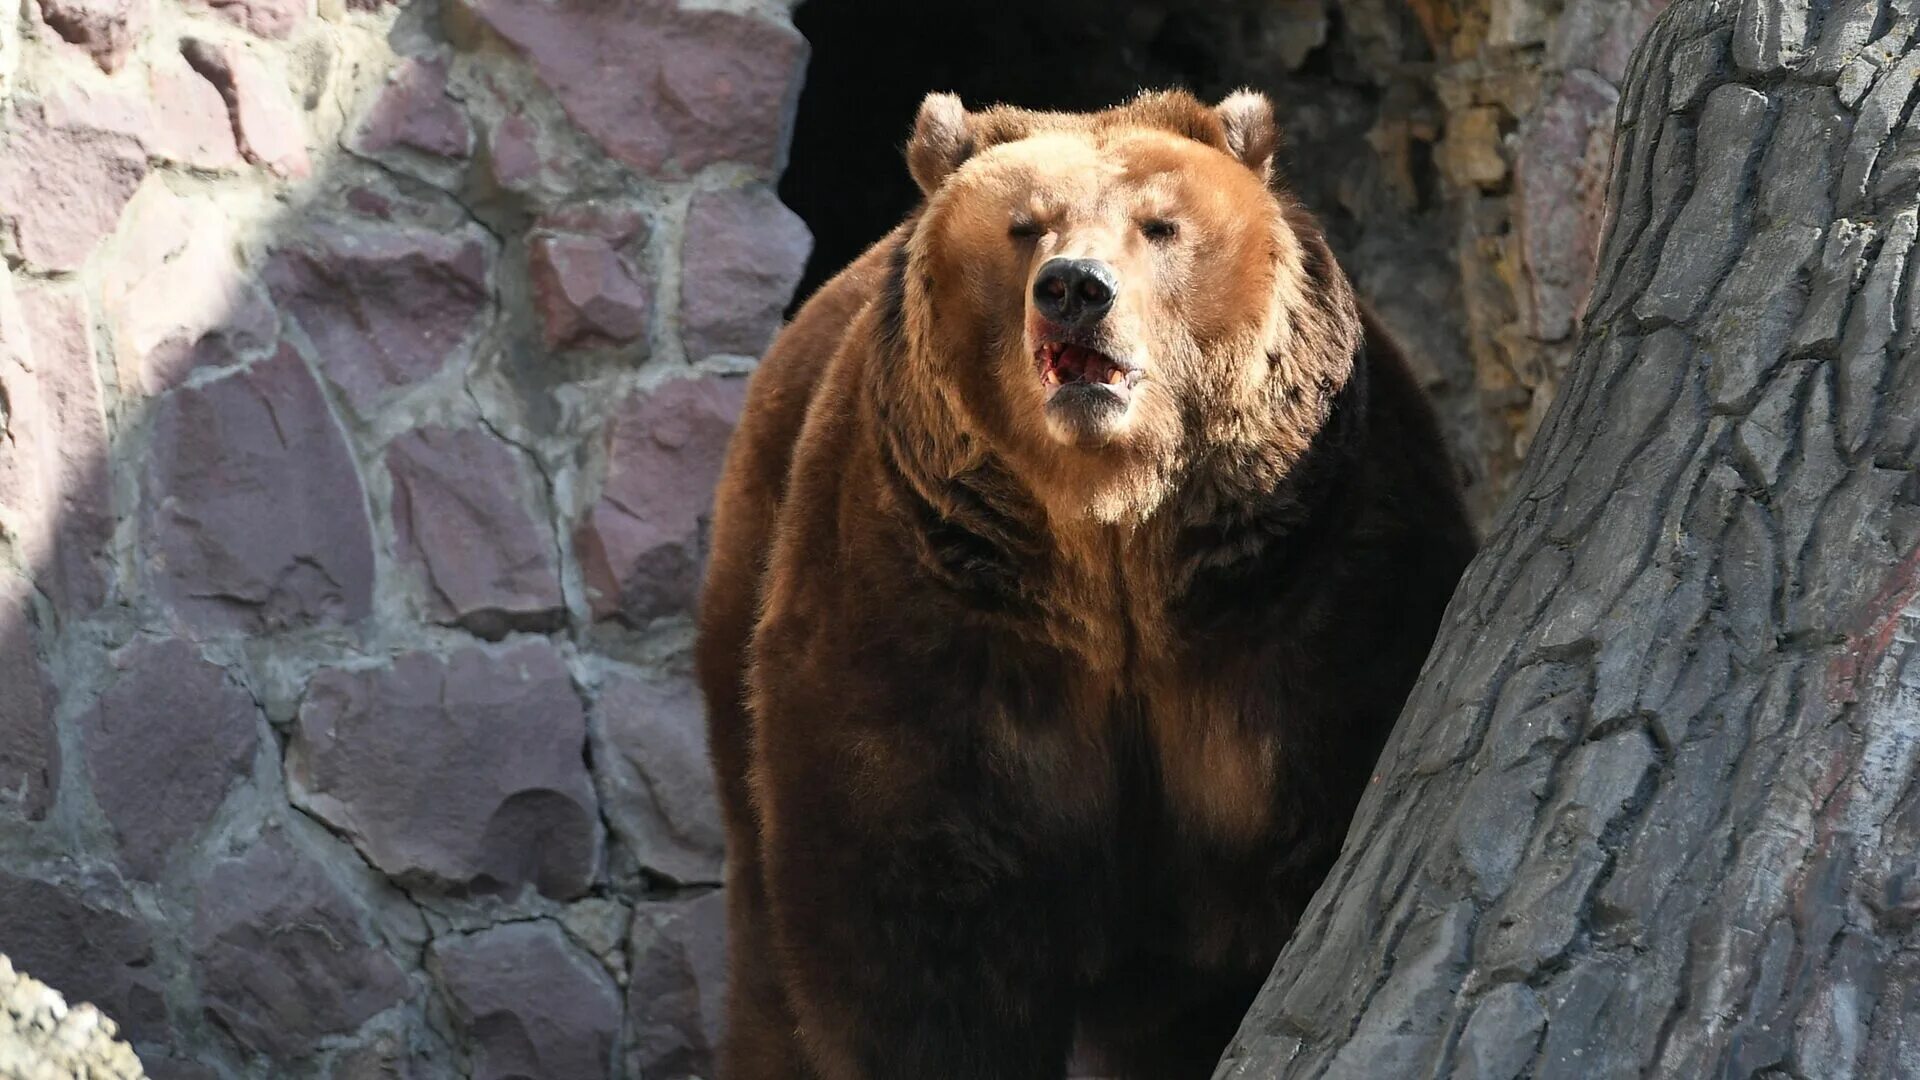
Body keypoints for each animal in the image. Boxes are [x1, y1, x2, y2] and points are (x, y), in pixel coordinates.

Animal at [698, 85, 1474, 1076]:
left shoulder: (1307, 594)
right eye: (1025, 226)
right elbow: (911, 921)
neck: (1116, 553)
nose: (1074, 288)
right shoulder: (930, 612)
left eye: (1161, 224)